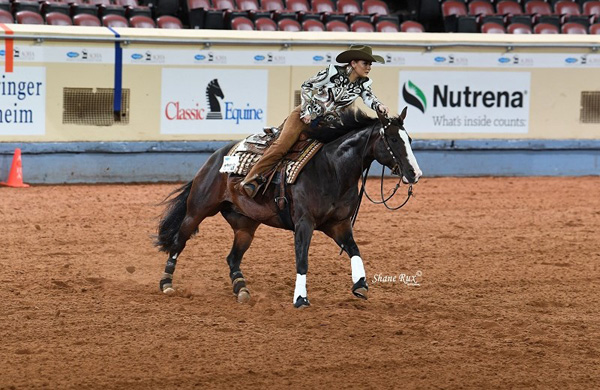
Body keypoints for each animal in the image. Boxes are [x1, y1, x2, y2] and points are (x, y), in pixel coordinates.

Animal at [157, 106, 424, 308]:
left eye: (410, 139)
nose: (415, 173)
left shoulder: (338, 224)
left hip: (245, 225)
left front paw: (361, 285)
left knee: (232, 258)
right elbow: (302, 260)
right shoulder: (304, 224)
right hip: (198, 210)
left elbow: (355, 250)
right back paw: (167, 283)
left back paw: (241, 289)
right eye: (392, 139)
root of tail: (215, 158)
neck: (332, 169)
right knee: (179, 241)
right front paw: (300, 298)